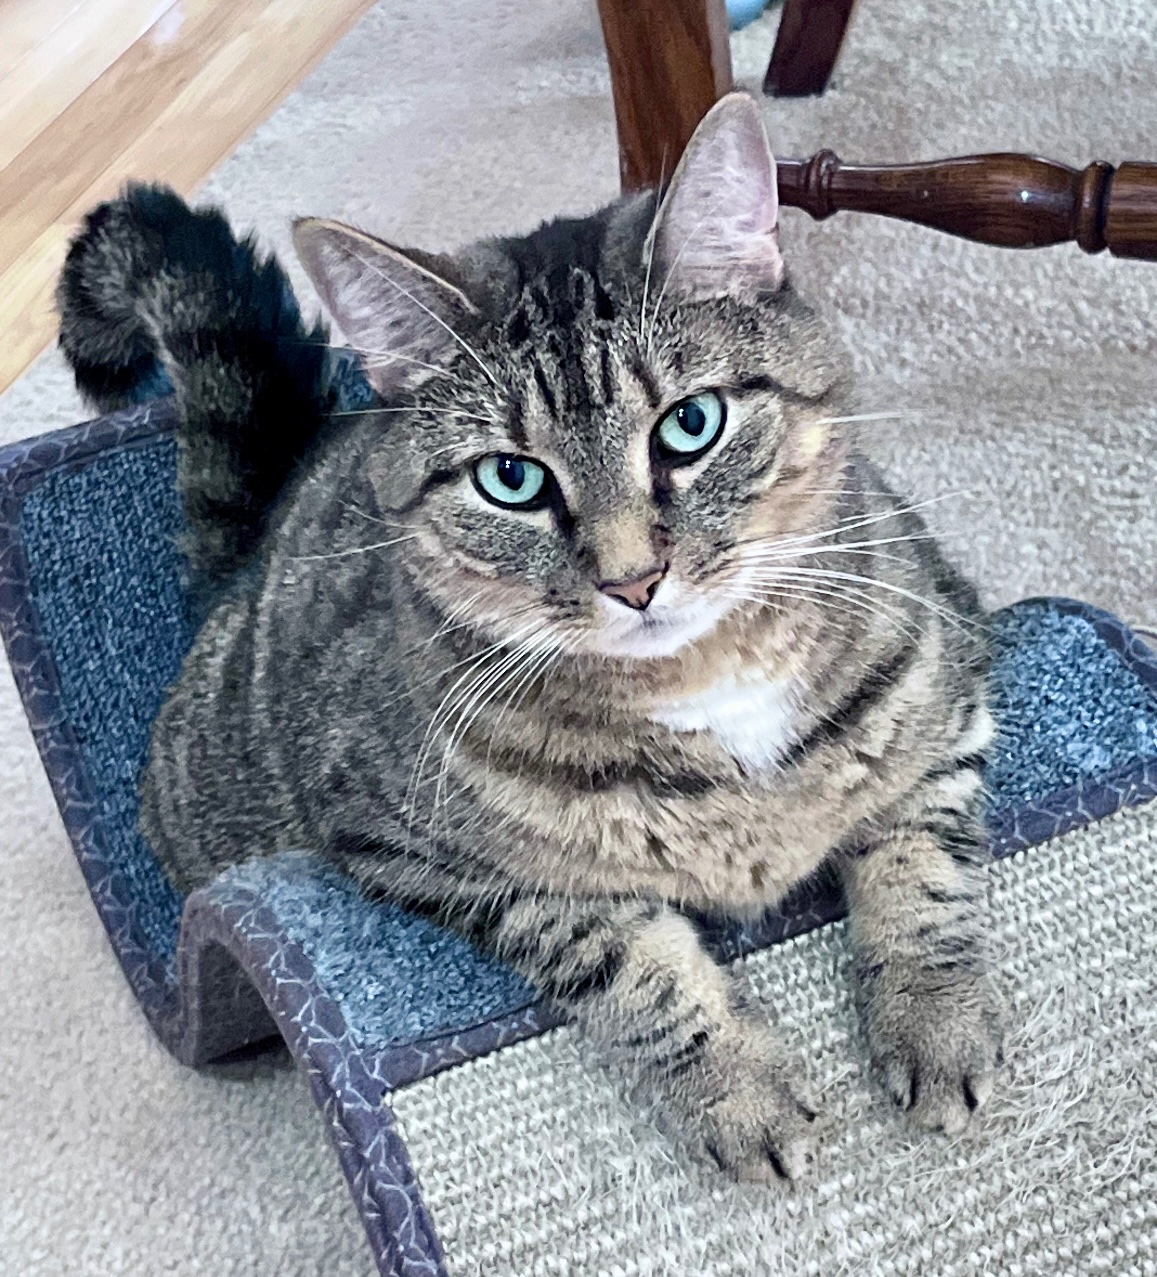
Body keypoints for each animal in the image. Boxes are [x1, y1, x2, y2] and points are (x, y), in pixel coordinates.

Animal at [58, 93, 1002, 1183]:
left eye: (691, 425)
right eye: (510, 479)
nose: (632, 580)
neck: (703, 683)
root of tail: (246, 554)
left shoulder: (948, 680)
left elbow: (919, 872)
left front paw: (934, 1024)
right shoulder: (439, 863)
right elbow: (634, 971)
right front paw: (742, 1091)